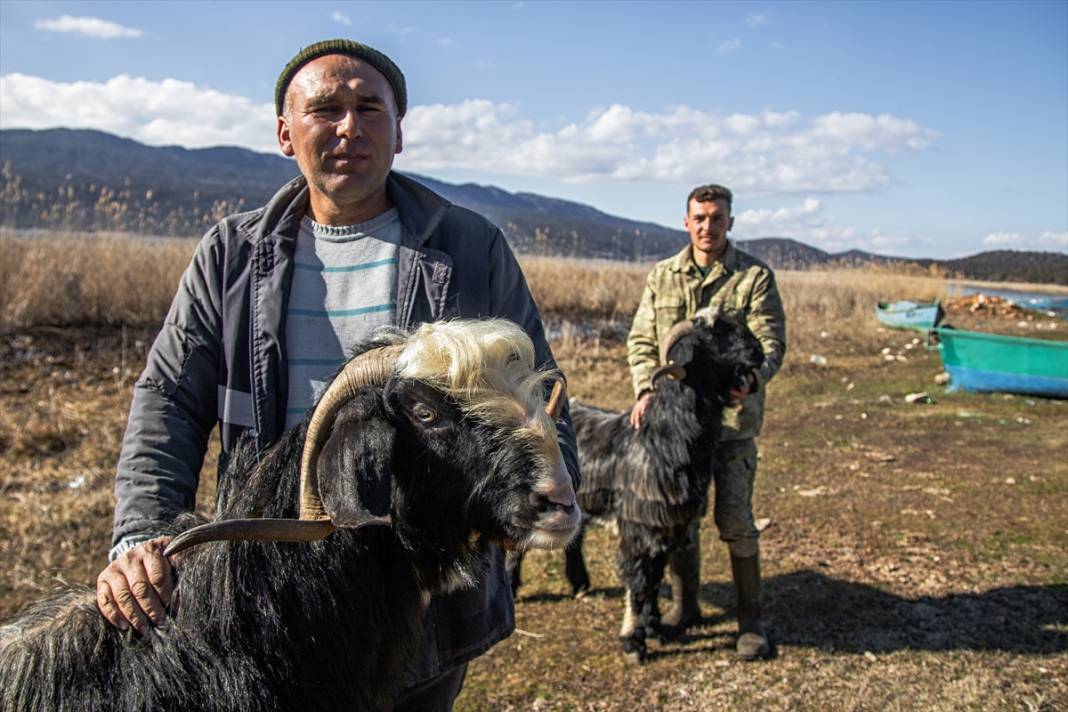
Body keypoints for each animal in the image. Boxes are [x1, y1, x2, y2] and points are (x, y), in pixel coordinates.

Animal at [506, 311, 760, 661]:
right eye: (712, 336)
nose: (757, 351)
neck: (662, 437)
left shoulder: (668, 526)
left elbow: (654, 578)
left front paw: (654, 628)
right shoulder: (639, 525)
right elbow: (638, 579)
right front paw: (633, 641)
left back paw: (580, 584)